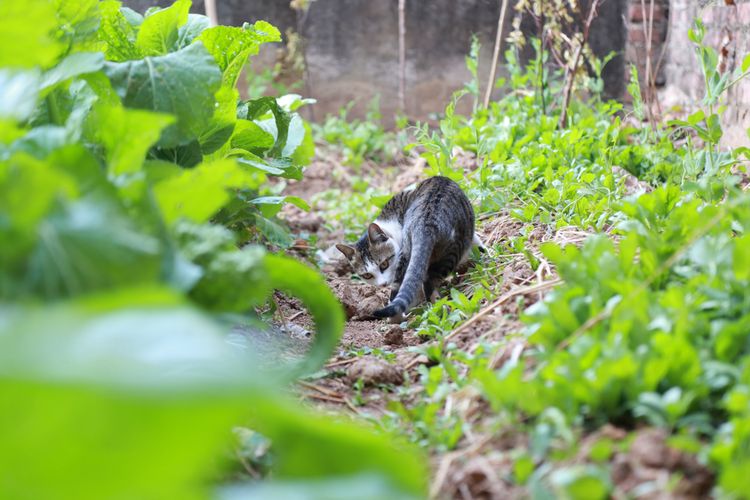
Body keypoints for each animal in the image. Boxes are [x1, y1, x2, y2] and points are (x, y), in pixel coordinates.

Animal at [338, 176, 478, 316]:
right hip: (454, 247)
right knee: (430, 280)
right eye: (367, 275)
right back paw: (439, 306)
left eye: (384, 264)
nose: (383, 284)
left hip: (406, 252)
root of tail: (425, 223)